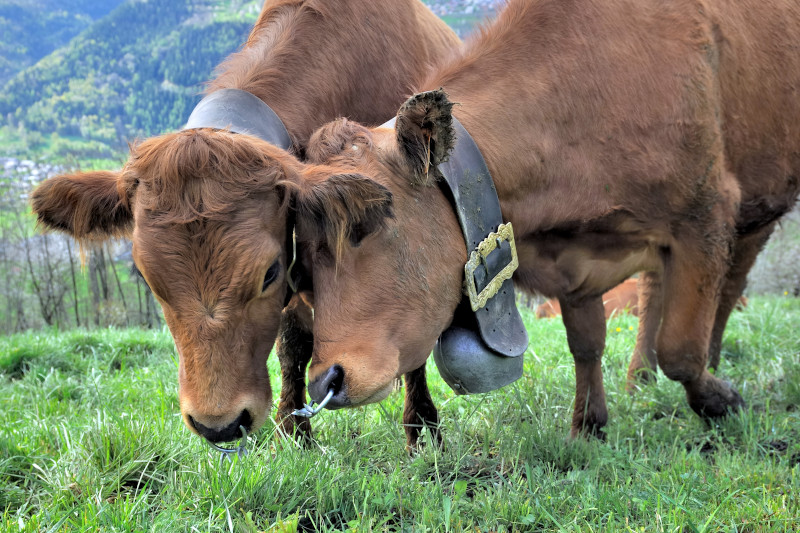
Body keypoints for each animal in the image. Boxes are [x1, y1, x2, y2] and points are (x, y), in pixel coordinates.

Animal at [29, 1, 456, 444]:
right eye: (146, 279)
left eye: (269, 273)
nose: (218, 424)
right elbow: (292, 343)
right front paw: (294, 432)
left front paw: (422, 429)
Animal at [294, 0, 800, 438]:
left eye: (371, 225)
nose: (324, 380)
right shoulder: (574, 261)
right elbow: (587, 343)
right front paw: (589, 426)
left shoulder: (706, 215)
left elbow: (681, 348)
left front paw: (719, 400)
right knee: (656, 290)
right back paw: (639, 377)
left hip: (757, 208)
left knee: (728, 290)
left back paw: (708, 368)